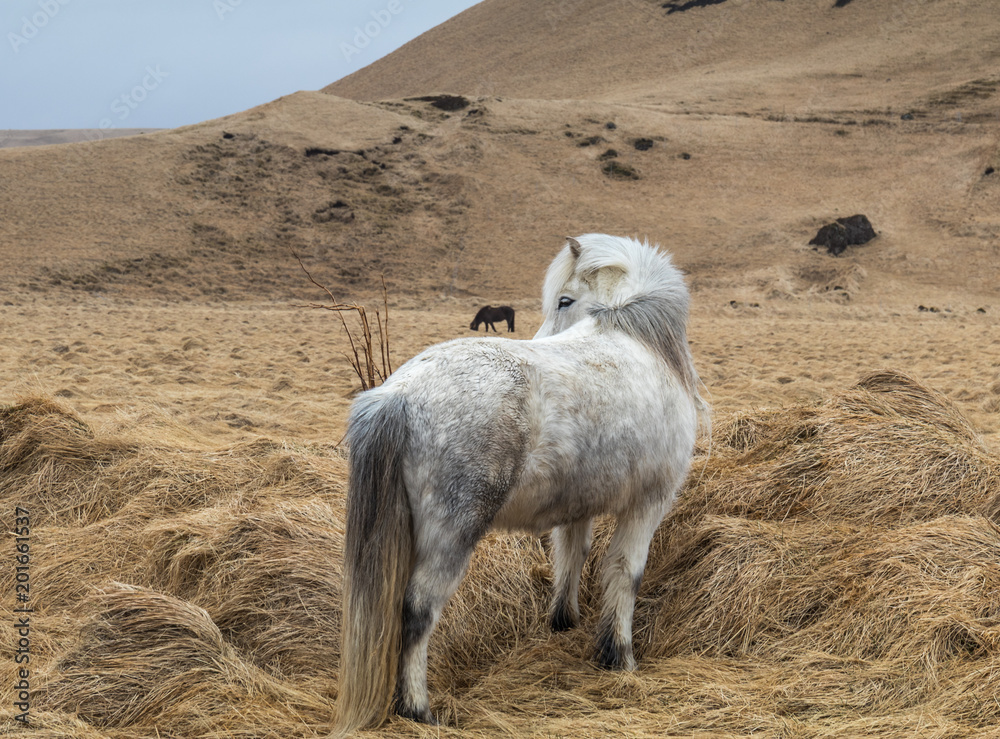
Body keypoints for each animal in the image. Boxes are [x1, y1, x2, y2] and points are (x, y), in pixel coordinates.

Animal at [334, 234, 708, 735]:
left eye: (564, 301)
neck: (637, 342)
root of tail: (398, 396)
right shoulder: (648, 503)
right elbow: (626, 573)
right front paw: (620, 657)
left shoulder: (578, 507)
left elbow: (571, 558)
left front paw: (563, 622)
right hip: (450, 537)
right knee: (417, 612)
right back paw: (417, 709)